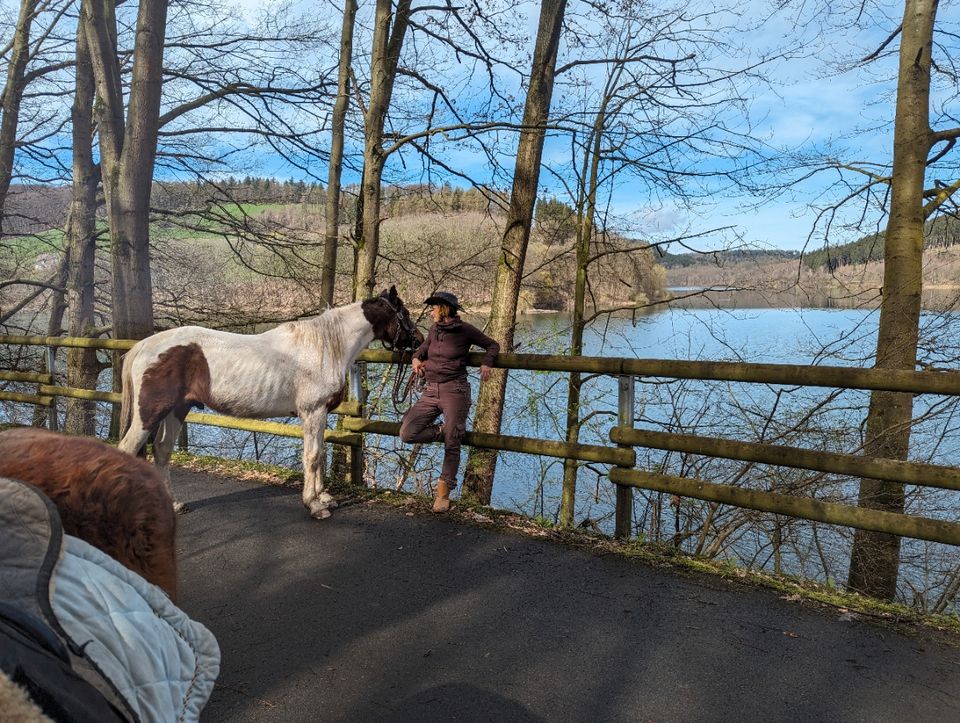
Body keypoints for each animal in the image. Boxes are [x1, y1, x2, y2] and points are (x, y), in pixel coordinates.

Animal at [120, 288, 420, 520]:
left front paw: (324, 498)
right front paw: (314, 505)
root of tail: (146, 345)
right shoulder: (313, 412)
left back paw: (174, 504)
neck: (325, 348)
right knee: (128, 448)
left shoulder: (320, 414)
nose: (418, 342)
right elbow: (312, 457)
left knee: (162, 451)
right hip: (149, 413)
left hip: (177, 409)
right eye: (404, 313)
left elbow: (320, 454)